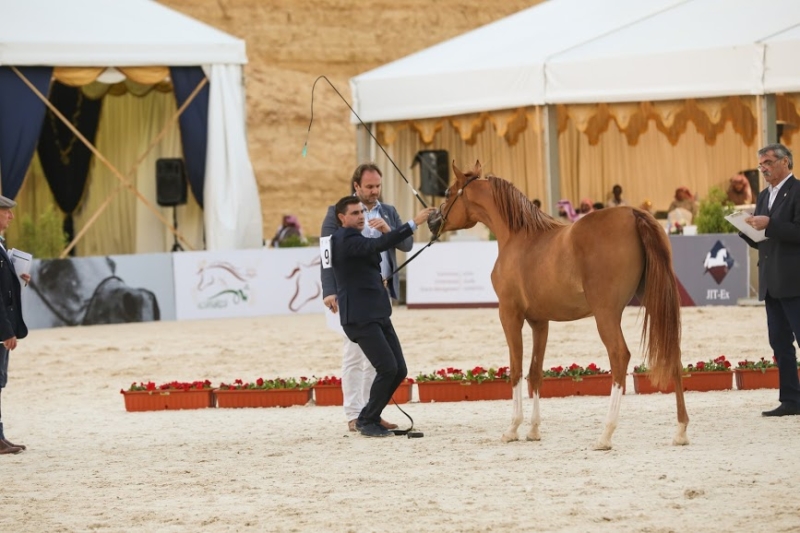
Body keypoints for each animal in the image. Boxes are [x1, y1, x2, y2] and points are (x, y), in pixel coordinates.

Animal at [428, 162, 692, 448]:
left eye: (447, 192)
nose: (432, 221)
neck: (518, 237)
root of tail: (633, 214)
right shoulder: (539, 321)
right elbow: (535, 372)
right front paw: (533, 430)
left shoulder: (509, 315)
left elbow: (516, 370)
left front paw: (513, 428)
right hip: (655, 302)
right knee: (673, 352)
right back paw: (680, 430)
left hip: (606, 313)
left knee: (619, 356)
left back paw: (605, 434)